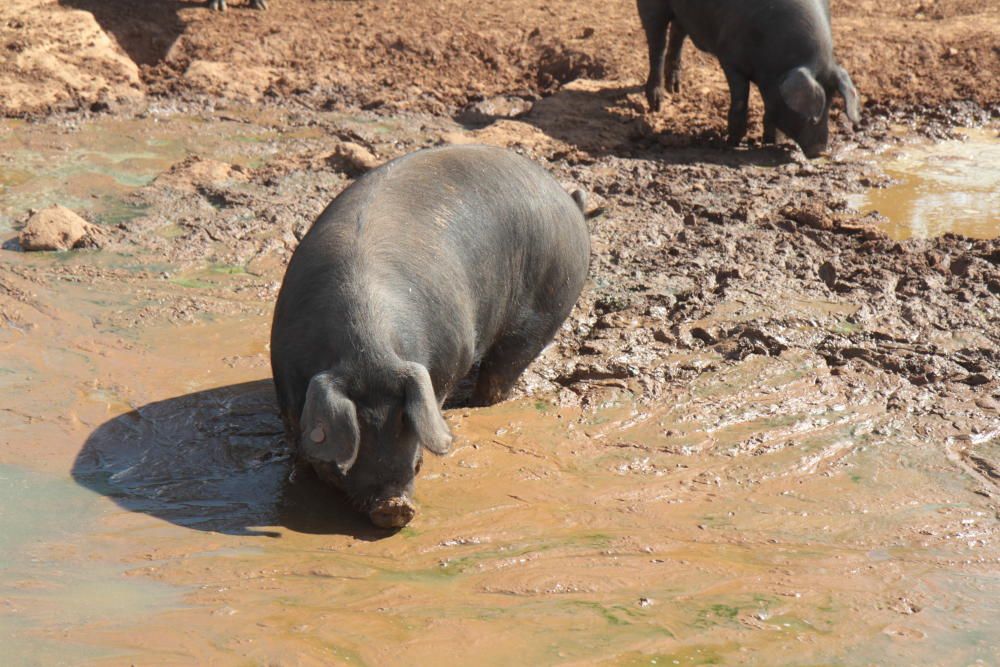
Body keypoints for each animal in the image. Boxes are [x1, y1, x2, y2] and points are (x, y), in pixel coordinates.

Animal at [270, 145, 588, 528]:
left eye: (404, 425)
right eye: (358, 432)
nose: (393, 507)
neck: (367, 352)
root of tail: (568, 199)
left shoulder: (450, 360)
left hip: (547, 307)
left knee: (502, 373)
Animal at [636, 0, 864, 158]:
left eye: (831, 104)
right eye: (812, 115)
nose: (820, 151)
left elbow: (770, 109)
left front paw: (771, 142)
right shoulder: (730, 59)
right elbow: (740, 101)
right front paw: (731, 143)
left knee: (677, 33)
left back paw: (675, 88)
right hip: (652, 7)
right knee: (657, 43)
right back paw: (656, 104)